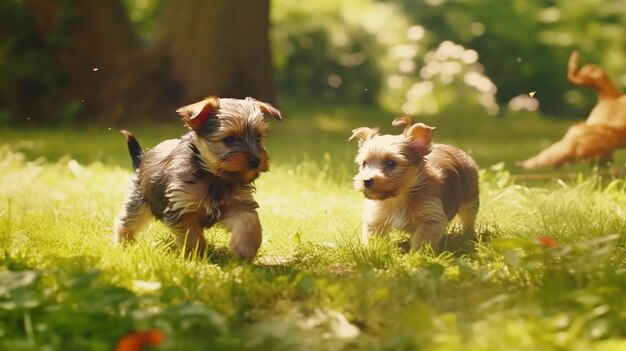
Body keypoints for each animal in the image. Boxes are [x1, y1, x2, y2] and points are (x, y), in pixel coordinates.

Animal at [346, 117, 478, 250]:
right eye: (364, 164)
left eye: (391, 163)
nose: (366, 181)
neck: (399, 198)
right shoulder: (376, 217)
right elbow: (374, 237)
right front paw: (373, 250)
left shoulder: (431, 217)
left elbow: (421, 238)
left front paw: (417, 254)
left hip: (470, 199)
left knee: (468, 219)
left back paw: (468, 237)